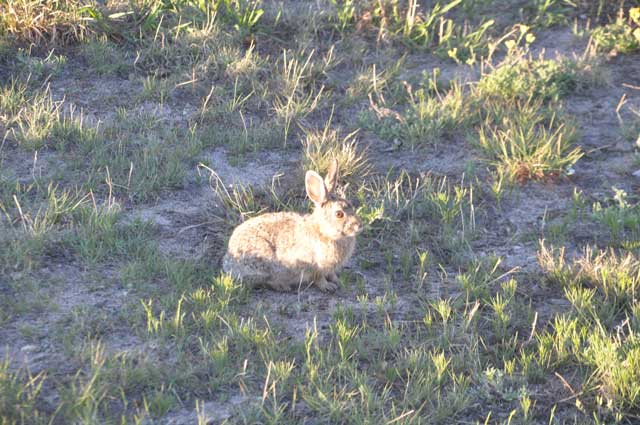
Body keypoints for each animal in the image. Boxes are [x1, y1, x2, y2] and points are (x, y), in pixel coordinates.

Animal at [221, 160, 360, 292]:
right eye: (339, 214)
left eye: (351, 205)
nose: (359, 226)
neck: (324, 232)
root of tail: (228, 262)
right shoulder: (314, 266)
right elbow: (318, 279)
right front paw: (328, 287)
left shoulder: (329, 268)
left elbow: (331, 274)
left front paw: (337, 281)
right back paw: (284, 287)